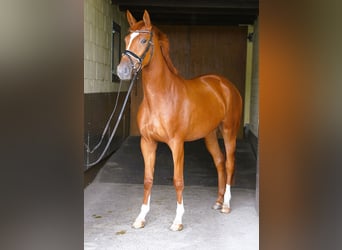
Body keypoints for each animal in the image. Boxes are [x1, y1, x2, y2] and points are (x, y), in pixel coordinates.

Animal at [117, 10, 243, 232]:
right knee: (219, 162)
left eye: (143, 40)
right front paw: (141, 217)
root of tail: (226, 85)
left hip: (229, 131)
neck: (161, 97)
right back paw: (218, 201)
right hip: (210, 134)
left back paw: (226, 204)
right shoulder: (147, 142)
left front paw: (177, 220)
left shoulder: (177, 144)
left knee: (229, 163)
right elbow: (148, 179)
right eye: (126, 39)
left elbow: (178, 180)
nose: (122, 71)